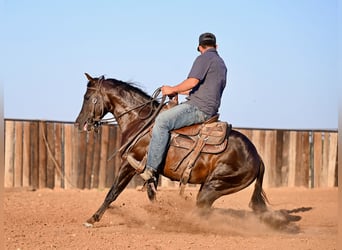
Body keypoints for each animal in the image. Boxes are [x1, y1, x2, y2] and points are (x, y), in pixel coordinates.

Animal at [75, 73, 270, 227]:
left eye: (87, 97)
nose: (79, 123)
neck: (139, 121)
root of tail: (257, 157)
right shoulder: (151, 171)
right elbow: (151, 196)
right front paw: (157, 217)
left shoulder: (129, 164)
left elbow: (112, 193)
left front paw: (92, 219)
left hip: (214, 186)